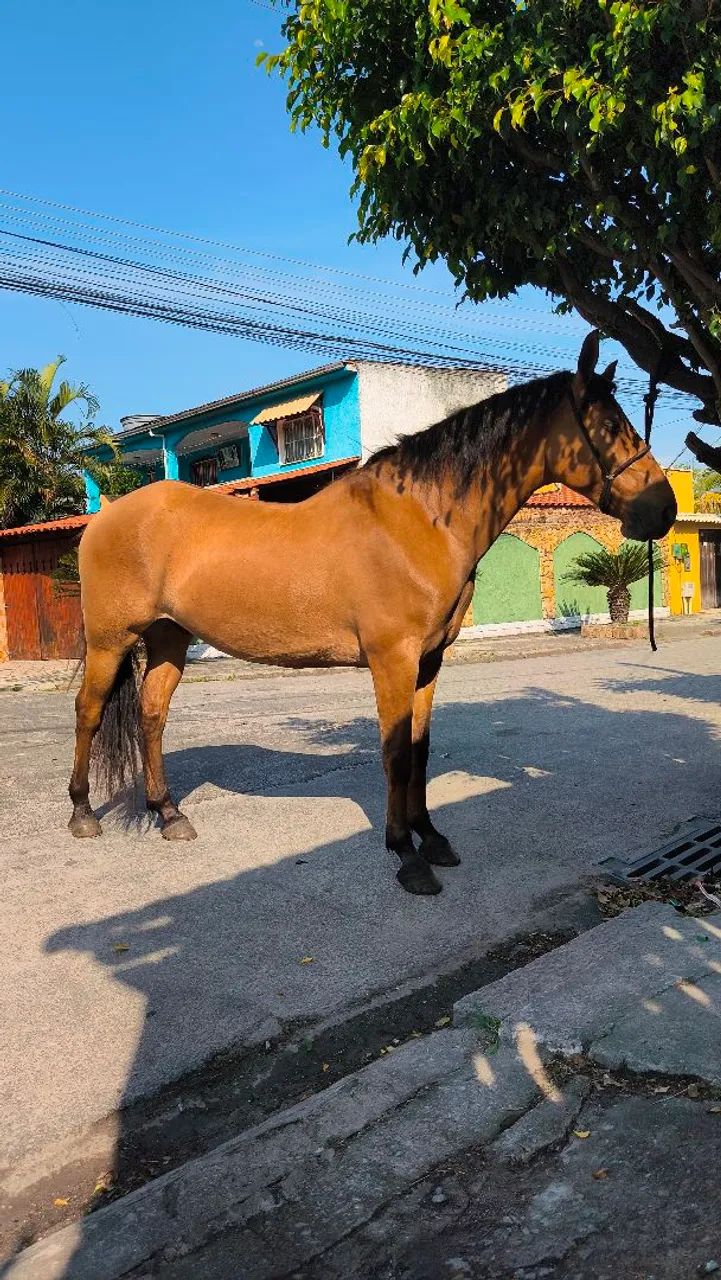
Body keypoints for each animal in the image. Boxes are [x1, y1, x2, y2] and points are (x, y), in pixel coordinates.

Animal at [68, 331, 676, 895]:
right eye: (606, 425)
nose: (663, 509)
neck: (418, 519)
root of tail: (107, 516)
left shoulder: (428, 663)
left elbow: (421, 750)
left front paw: (432, 838)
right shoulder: (392, 661)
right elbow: (395, 753)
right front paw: (405, 854)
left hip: (169, 638)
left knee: (151, 715)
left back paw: (169, 814)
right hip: (111, 640)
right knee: (89, 712)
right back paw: (82, 814)